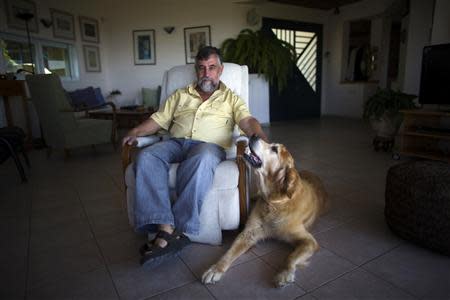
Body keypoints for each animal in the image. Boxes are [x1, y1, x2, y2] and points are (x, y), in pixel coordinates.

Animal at [203, 135, 326, 288]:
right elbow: (229, 253)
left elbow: (291, 257)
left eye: (274, 149)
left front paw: (285, 273)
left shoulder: (308, 241)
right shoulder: (248, 233)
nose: (254, 135)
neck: (274, 202)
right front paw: (215, 268)